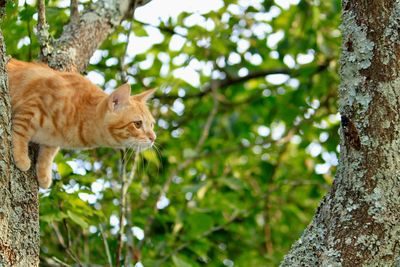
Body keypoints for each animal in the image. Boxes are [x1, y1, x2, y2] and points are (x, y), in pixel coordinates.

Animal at [6, 59, 156, 189]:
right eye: (138, 124)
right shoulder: (31, 107)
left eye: (151, 125)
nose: (153, 138)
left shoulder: (51, 142)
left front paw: (43, 174)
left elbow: (48, 155)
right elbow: (20, 132)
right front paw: (21, 157)